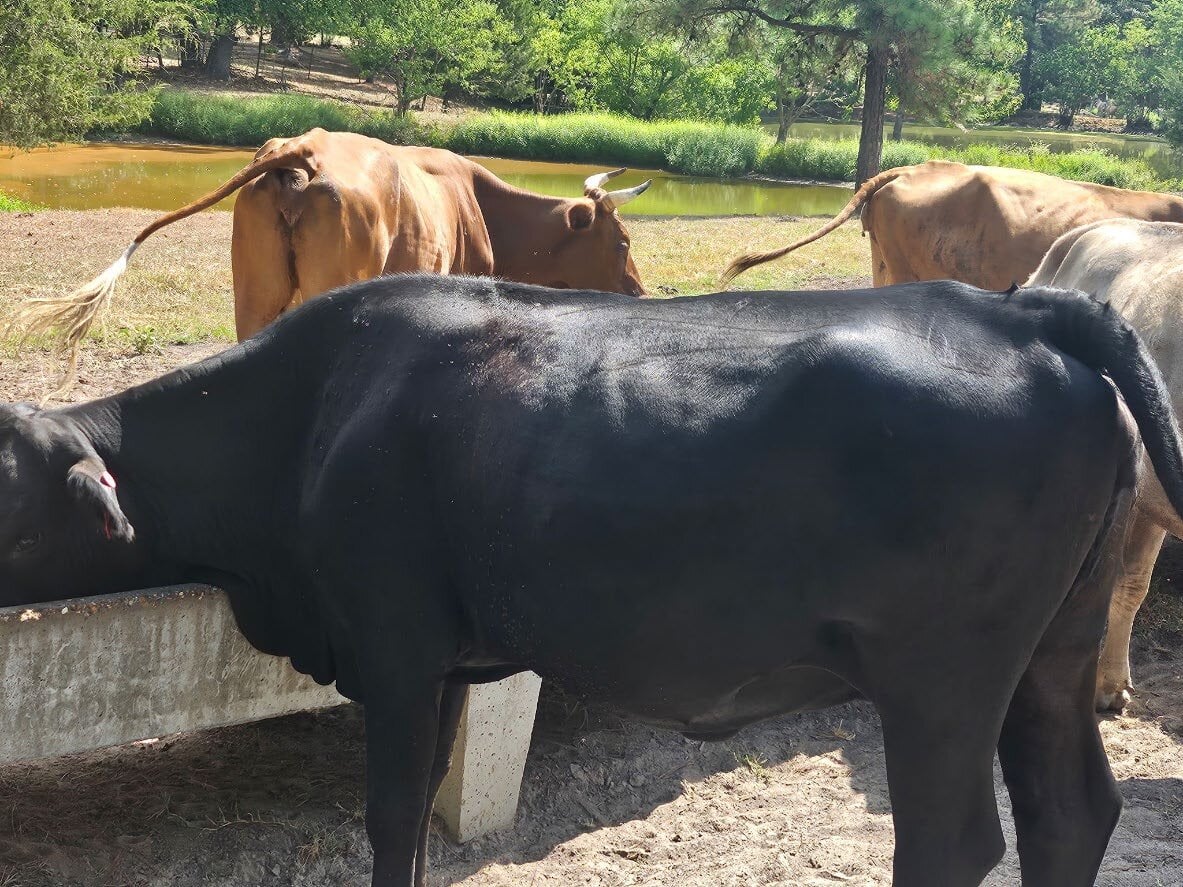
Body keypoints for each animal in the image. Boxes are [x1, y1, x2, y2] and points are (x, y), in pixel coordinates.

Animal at [4, 273, 1183, 887]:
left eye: (8, 503)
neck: (311, 413)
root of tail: (1016, 306)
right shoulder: (445, 662)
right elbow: (411, 816)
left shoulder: (394, 642)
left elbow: (387, 813)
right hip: (1052, 649)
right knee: (1069, 807)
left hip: (941, 671)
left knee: (953, 837)